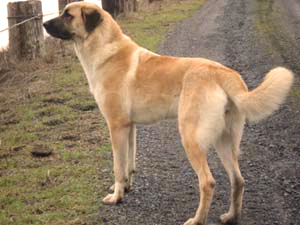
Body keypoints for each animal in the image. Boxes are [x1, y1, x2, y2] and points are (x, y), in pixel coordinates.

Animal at [43, 2, 294, 225]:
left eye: (68, 15)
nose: (44, 24)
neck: (104, 48)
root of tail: (222, 73)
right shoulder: (129, 127)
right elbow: (128, 163)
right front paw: (125, 187)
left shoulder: (116, 126)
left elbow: (117, 166)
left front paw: (116, 197)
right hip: (225, 140)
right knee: (238, 180)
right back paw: (231, 217)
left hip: (191, 138)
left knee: (208, 182)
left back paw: (197, 220)